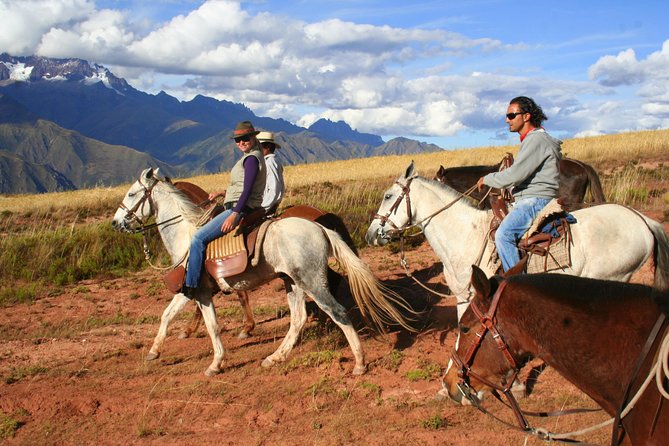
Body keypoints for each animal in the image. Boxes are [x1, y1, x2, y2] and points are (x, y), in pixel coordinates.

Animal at [112, 168, 412, 376]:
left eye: (131, 193)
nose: (116, 222)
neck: (187, 237)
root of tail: (318, 226)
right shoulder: (194, 292)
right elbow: (167, 316)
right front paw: (154, 351)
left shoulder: (197, 291)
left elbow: (211, 326)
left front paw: (216, 362)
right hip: (293, 283)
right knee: (298, 319)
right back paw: (275, 357)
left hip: (312, 282)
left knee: (336, 312)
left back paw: (359, 362)